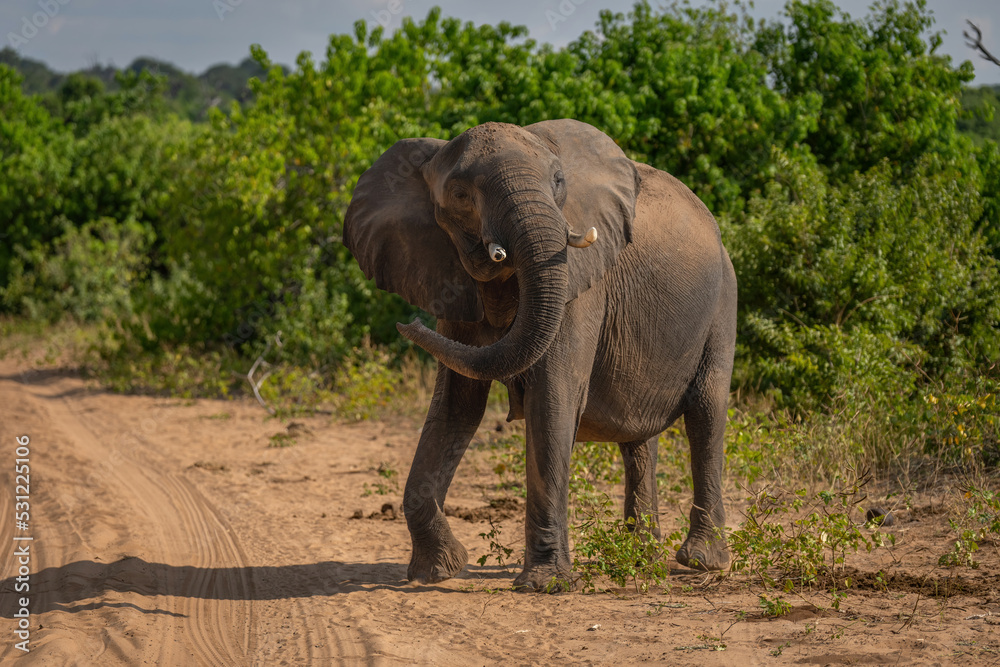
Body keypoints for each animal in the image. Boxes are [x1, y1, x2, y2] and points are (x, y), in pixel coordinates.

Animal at [343, 119, 736, 591]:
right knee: (640, 439)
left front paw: (545, 585)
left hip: (723, 300)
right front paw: (436, 572)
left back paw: (701, 562)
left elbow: (552, 400)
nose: (410, 325)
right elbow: (456, 406)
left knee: (706, 413)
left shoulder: (579, 284)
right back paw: (642, 558)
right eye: (459, 194)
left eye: (558, 181)